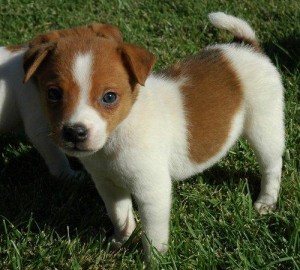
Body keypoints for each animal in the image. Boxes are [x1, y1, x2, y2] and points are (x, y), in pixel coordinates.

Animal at [21, 12, 284, 260]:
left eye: (109, 97)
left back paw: (266, 201)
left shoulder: (152, 192)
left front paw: (154, 260)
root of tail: (246, 46)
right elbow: (120, 215)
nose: (74, 132)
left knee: (272, 165)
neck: (117, 135)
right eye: (53, 94)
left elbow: (153, 235)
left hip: (264, 126)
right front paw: (121, 240)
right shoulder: (108, 185)